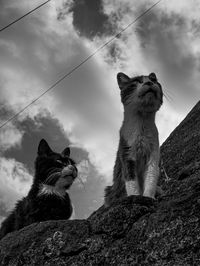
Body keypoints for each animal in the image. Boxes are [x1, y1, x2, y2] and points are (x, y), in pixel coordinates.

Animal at [104, 71, 163, 207]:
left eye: (154, 80)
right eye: (137, 81)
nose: (149, 82)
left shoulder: (153, 154)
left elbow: (151, 177)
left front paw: (148, 197)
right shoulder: (127, 153)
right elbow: (131, 180)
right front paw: (135, 197)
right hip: (109, 190)